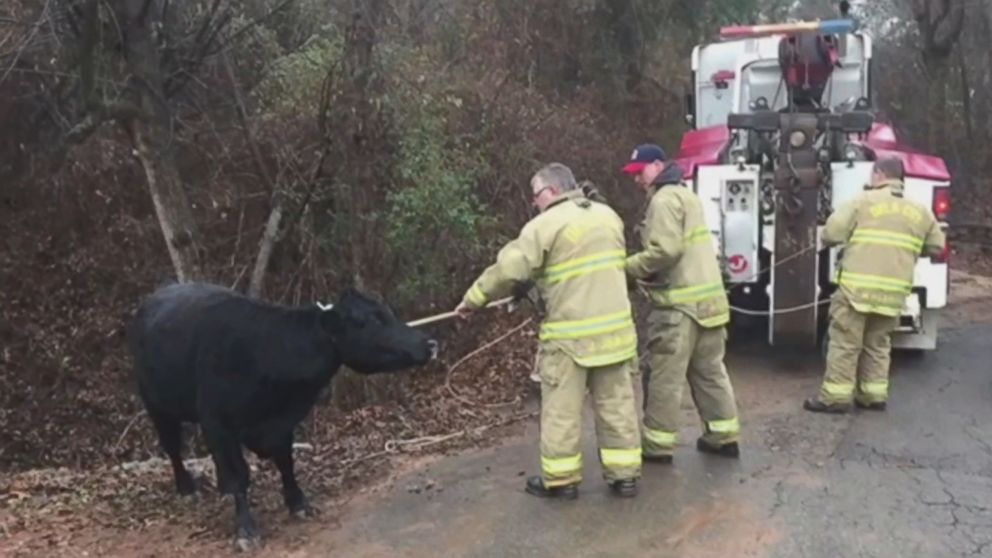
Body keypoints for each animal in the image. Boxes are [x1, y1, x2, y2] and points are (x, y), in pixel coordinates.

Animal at [126, 284, 436, 552]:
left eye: (386, 312)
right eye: (369, 321)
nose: (430, 343)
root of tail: (158, 294)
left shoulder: (281, 424)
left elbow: (286, 462)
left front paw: (299, 504)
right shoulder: (218, 422)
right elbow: (240, 475)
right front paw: (245, 530)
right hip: (156, 404)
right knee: (173, 448)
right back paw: (187, 488)